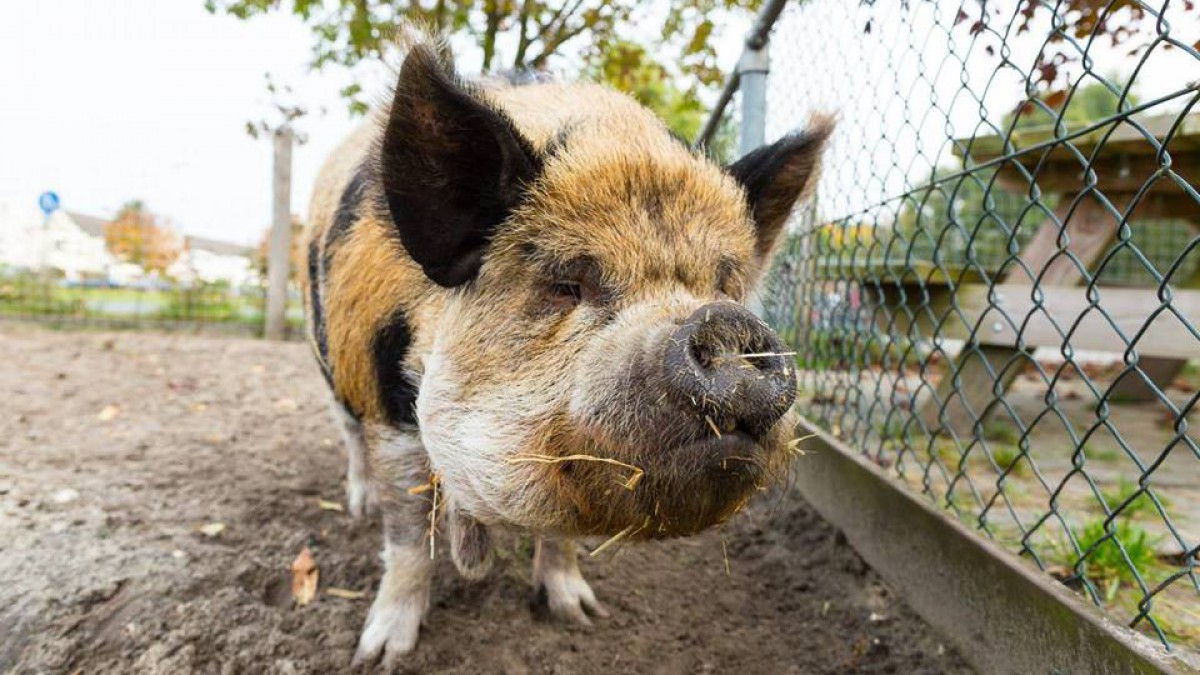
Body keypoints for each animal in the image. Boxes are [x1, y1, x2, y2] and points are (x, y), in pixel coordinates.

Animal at [302, 32, 825, 662]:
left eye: (724, 285)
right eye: (568, 284)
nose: (723, 322)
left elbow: (561, 535)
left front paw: (579, 614)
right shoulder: (390, 406)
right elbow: (407, 532)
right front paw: (383, 652)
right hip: (329, 360)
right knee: (347, 434)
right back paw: (361, 507)